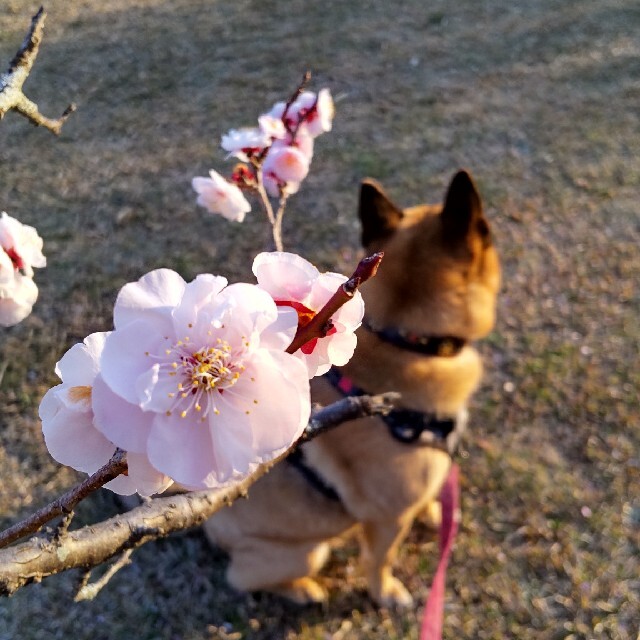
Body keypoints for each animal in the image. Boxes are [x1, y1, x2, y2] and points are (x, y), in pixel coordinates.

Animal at [204, 169, 500, 604]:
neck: (403, 340)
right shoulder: (387, 519)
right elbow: (380, 560)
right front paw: (386, 592)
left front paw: (432, 513)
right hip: (308, 553)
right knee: (242, 578)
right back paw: (306, 591)